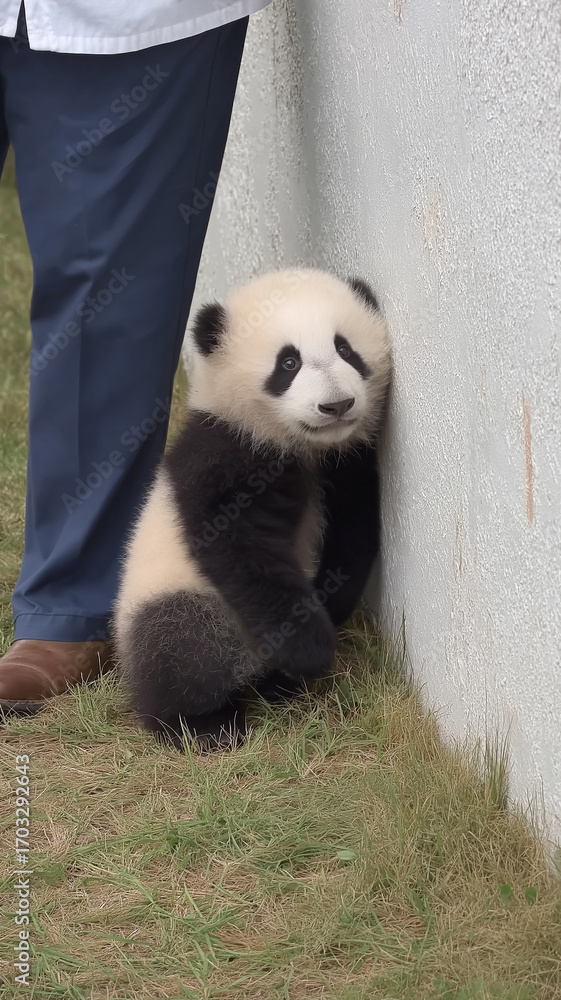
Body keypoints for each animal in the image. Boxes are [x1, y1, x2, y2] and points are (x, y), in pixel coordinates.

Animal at [114, 269, 392, 750]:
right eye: (288, 363)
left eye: (345, 349)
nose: (337, 405)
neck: (300, 445)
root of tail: (248, 668)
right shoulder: (224, 454)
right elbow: (243, 553)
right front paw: (309, 647)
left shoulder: (347, 463)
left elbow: (352, 536)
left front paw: (329, 611)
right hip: (171, 594)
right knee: (182, 643)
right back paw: (201, 723)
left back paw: (277, 686)